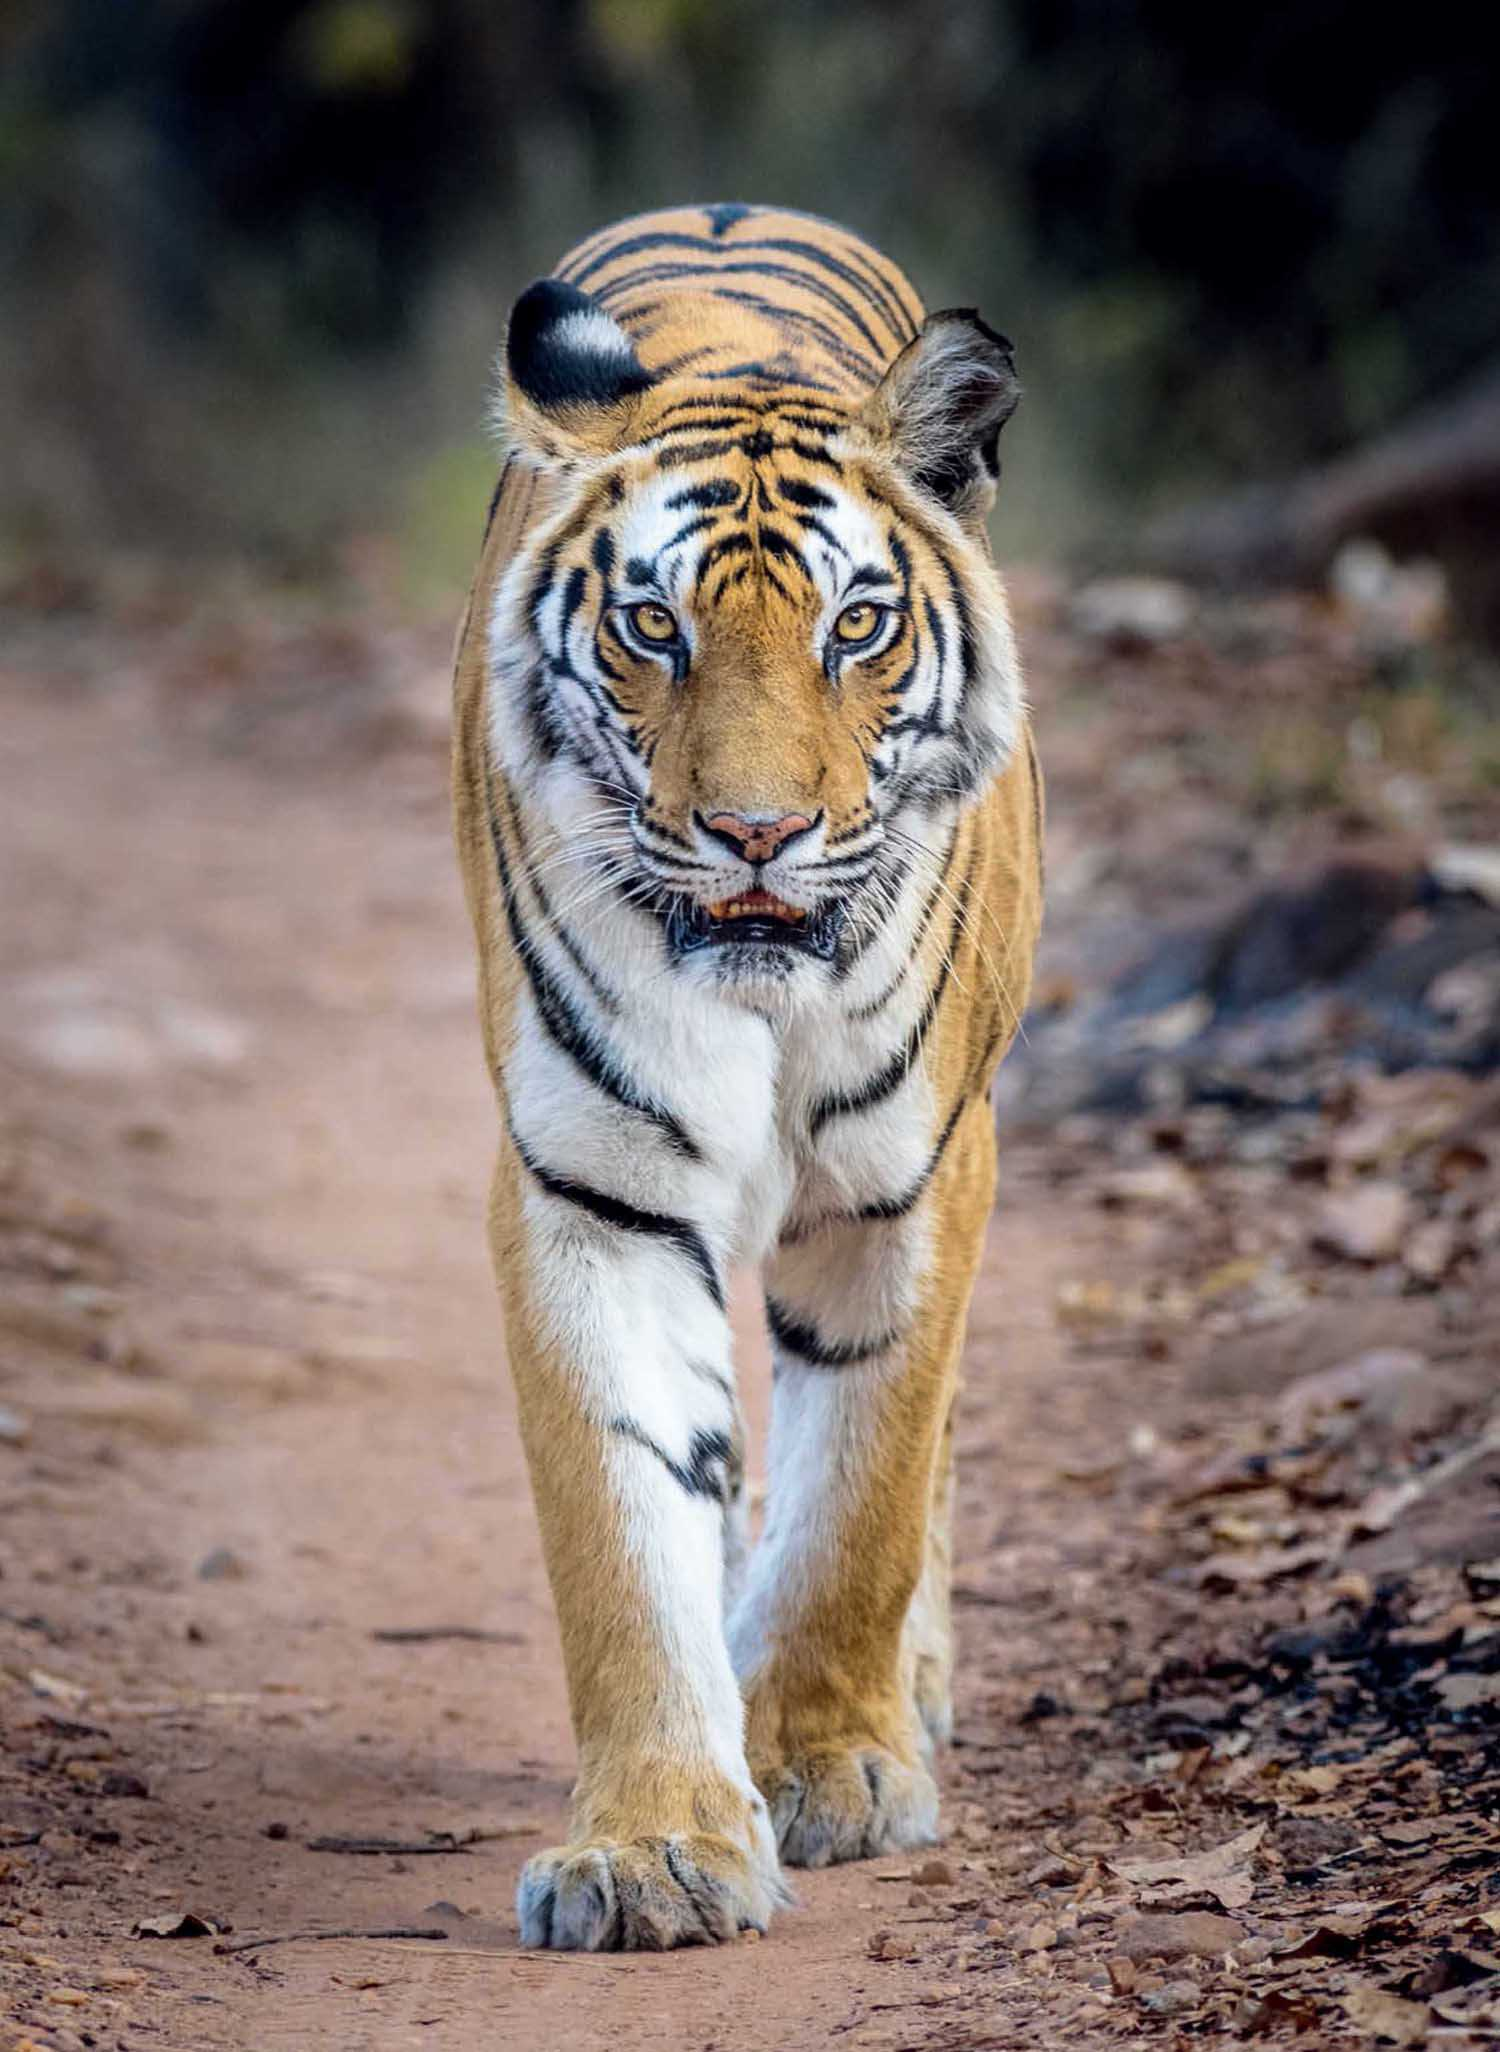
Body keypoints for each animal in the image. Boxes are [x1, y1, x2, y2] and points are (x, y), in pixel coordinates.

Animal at [449, 200, 1042, 1945]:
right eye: (656, 626)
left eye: (857, 626)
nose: (758, 835)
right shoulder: (587, 1190)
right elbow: (625, 1517)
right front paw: (654, 1845)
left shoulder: (919, 1178)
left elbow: (868, 1492)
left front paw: (836, 1766)